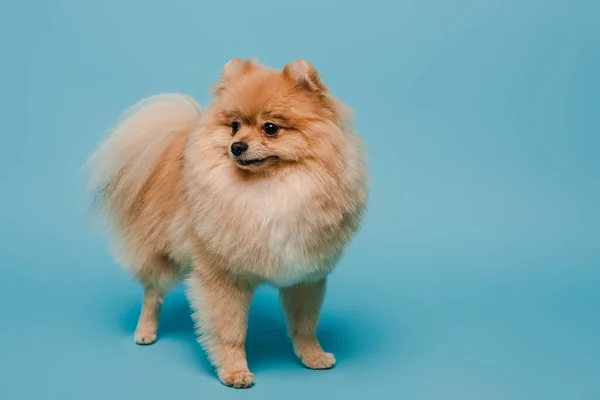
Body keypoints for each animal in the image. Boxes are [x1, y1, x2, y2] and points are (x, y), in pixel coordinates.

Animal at [86, 58, 368, 388]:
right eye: (234, 126)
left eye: (270, 128)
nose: (237, 146)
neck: (271, 189)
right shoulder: (223, 277)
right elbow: (229, 330)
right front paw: (234, 372)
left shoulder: (305, 276)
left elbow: (305, 323)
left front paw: (312, 356)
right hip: (162, 256)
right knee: (152, 294)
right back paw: (145, 331)